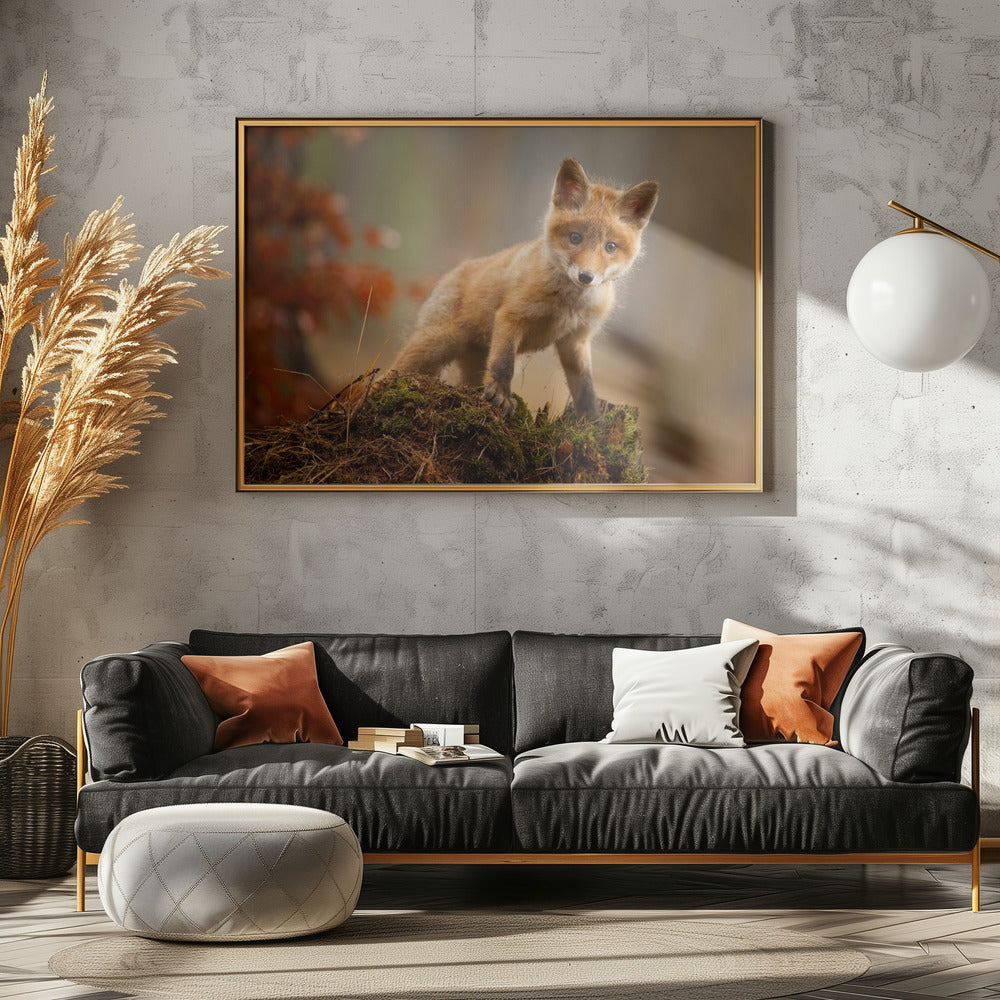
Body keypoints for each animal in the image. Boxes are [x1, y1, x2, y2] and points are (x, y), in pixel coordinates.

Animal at [390, 158, 658, 418]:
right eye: (575, 238)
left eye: (610, 246)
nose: (586, 276)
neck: (568, 305)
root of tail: (451, 272)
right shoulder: (511, 317)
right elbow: (503, 365)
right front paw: (501, 396)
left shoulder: (577, 339)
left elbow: (585, 387)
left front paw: (592, 422)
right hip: (436, 343)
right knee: (393, 371)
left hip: (472, 361)